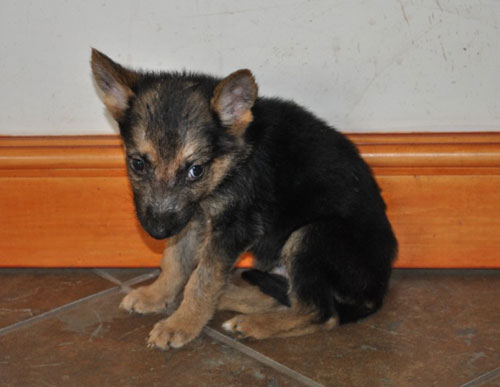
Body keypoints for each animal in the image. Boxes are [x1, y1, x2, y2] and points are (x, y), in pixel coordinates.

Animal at [91, 49, 398, 352]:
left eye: (195, 170)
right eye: (138, 164)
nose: (157, 232)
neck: (233, 160)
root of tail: (377, 291)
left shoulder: (233, 228)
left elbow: (203, 279)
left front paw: (181, 324)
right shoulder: (193, 217)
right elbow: (175, 261)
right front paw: (157, 295)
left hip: (314, 235)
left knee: (320, 312)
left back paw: (254, 324)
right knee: (283, 296)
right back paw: (229, 297)